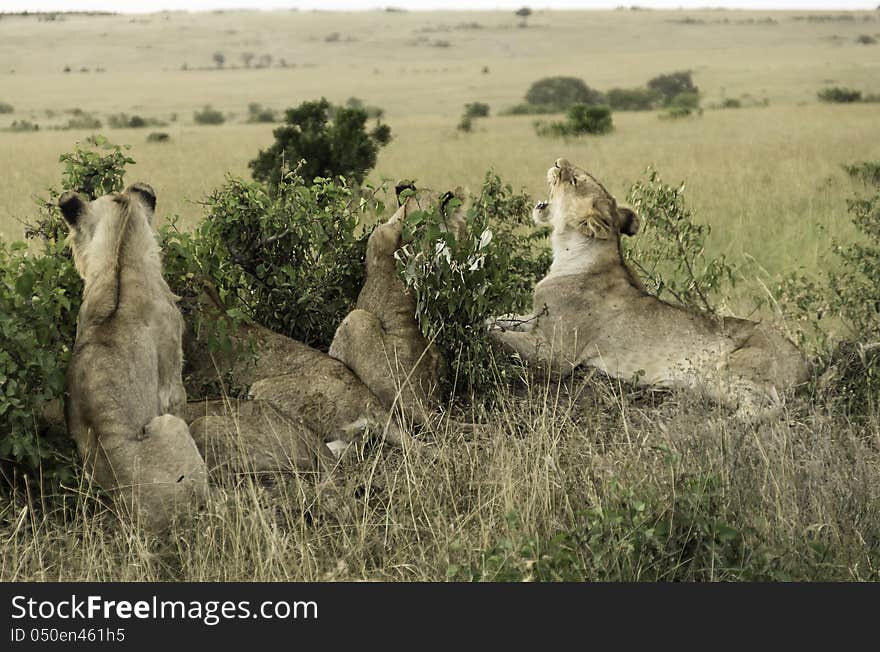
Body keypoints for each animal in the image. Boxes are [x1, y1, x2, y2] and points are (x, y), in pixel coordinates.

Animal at [488, 158, 812, 412]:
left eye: (575, 179)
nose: (558, 161)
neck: (569, 253)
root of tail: (804, 365)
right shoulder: (535, 319)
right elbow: (503, 318)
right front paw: (489, 318)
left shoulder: (554, 354)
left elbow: (502, 338)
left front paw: (481, 330)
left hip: (727, 372)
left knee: (767, 409)